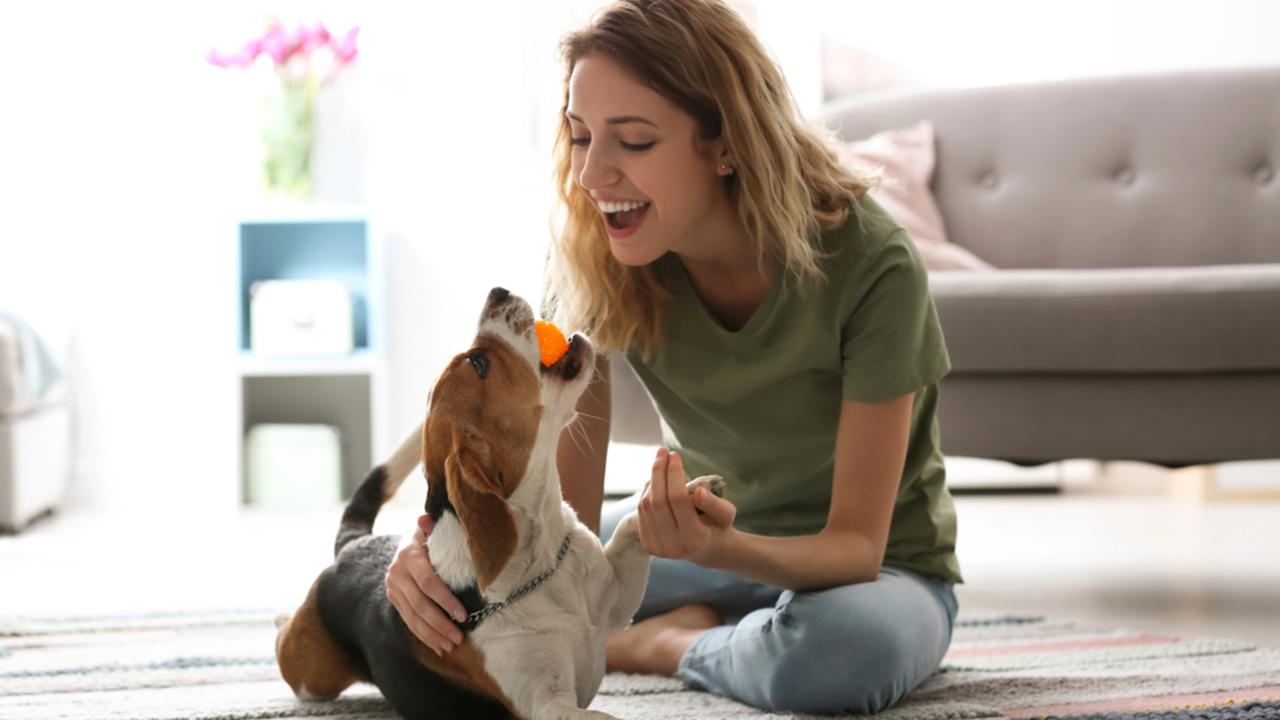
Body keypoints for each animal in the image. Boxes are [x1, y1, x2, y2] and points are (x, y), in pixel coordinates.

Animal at [273, 286, 721, 717]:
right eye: (479, 364)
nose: (498, 291)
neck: (539, 561)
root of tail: (352, 545)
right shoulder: (549, 705)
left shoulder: (615, 604)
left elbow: (632, 527)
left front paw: (684, 493)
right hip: (311, 678)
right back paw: (279, 619)